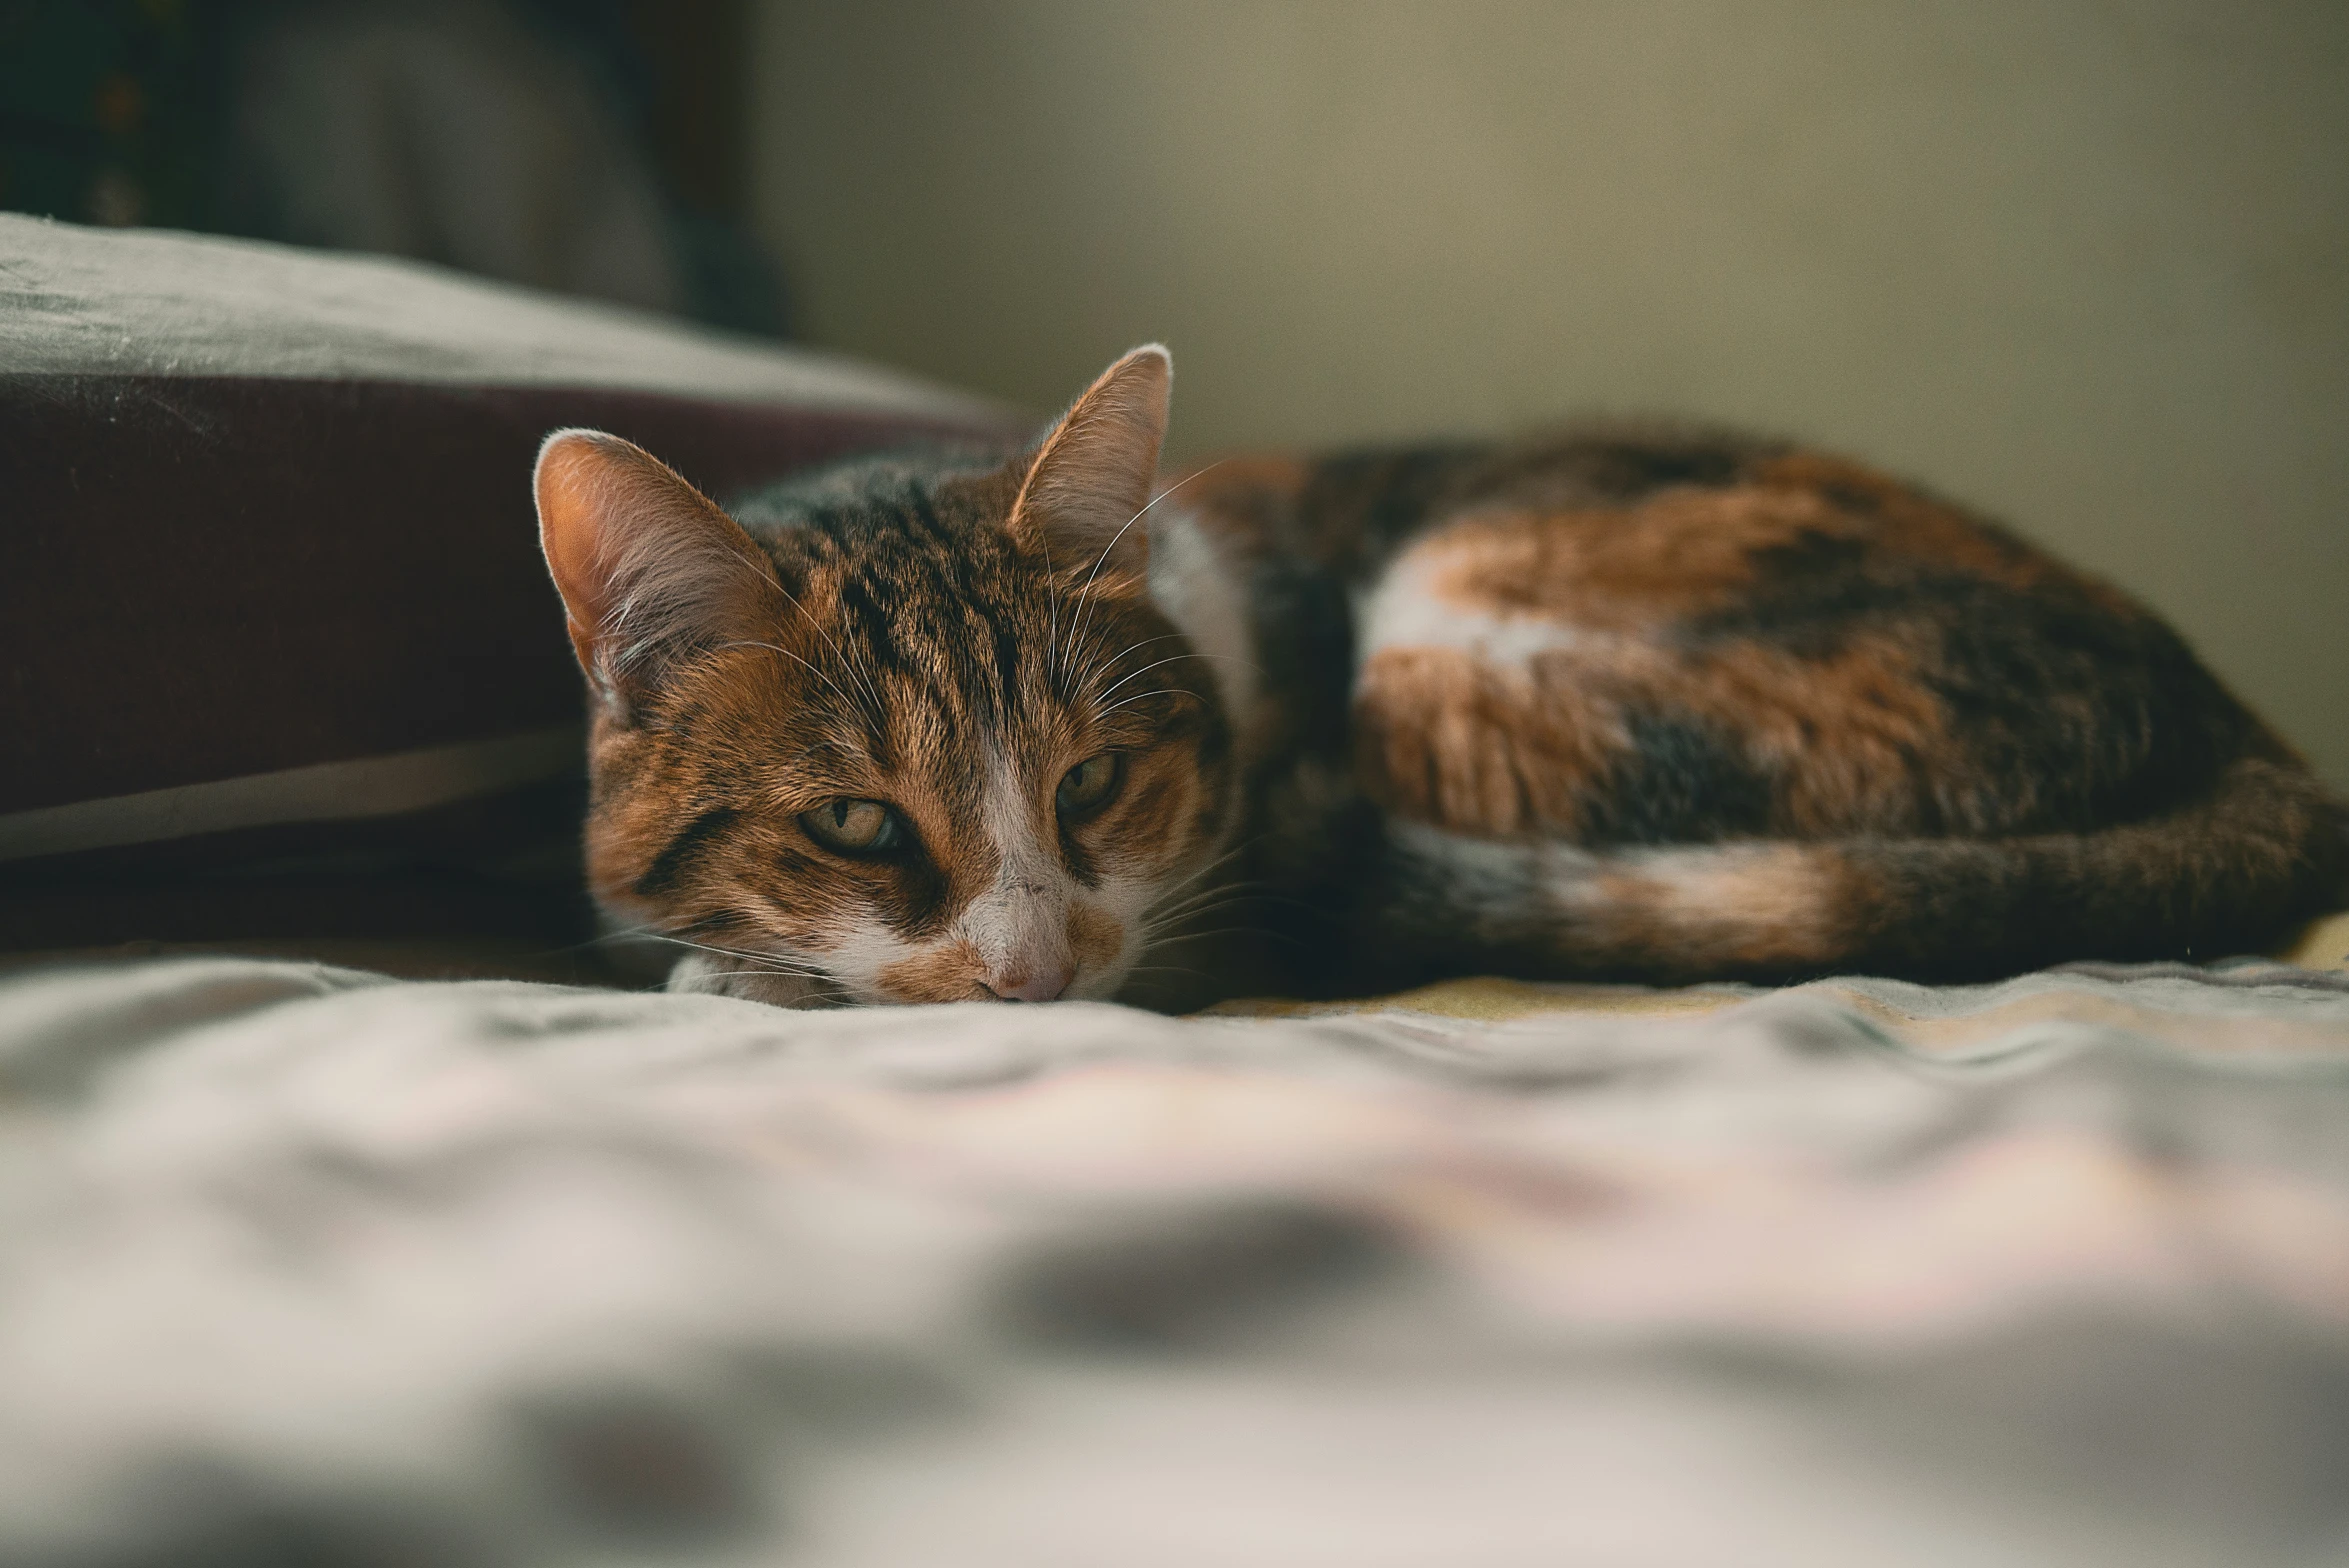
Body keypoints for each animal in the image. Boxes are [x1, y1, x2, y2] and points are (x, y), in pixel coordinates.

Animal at [537, 345, 2349, 1009]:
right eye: (852, 819)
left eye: (1092, 782)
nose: (1038, 974)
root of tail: (2230, 725)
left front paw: (738, 984)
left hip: (1455, 632)